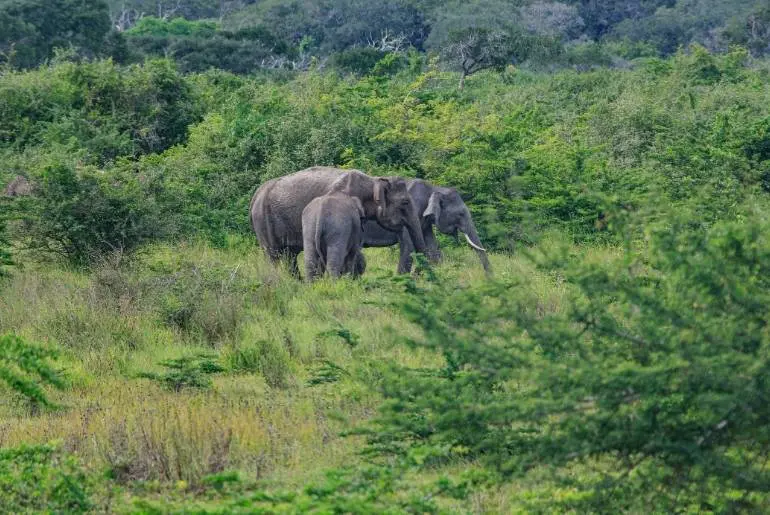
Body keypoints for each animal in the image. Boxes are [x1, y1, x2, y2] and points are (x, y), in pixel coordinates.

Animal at [249, 167, 426, 276]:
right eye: (405, 202)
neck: (372, 180)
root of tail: (256, 194)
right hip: (264, 221)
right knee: (274, 256)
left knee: (289, 257)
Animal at [362, 178, 492, 274]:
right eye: (460, 214)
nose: (489, 280)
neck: (434, 188)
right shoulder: (409, 212)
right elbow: (409, 246)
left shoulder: (425, 222)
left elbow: (432, 249)